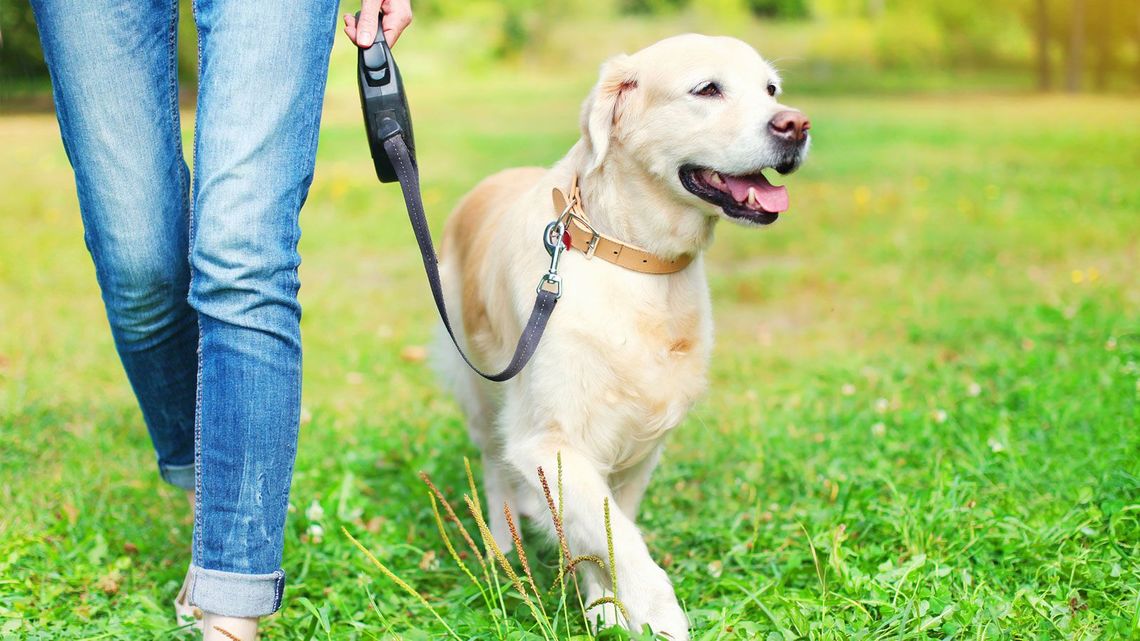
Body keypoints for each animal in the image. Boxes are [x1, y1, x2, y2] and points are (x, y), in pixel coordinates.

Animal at [430, 32, 807, 634]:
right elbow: (621, 542)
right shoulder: (549, 438)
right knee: (492, 466)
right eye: (707, 89)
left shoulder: (640, 444)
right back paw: (502, 548)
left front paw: (605, 604)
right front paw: (660, 620)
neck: (632, 257)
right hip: (481, 391)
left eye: (771, 90)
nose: (796, 125)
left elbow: (606, 531)